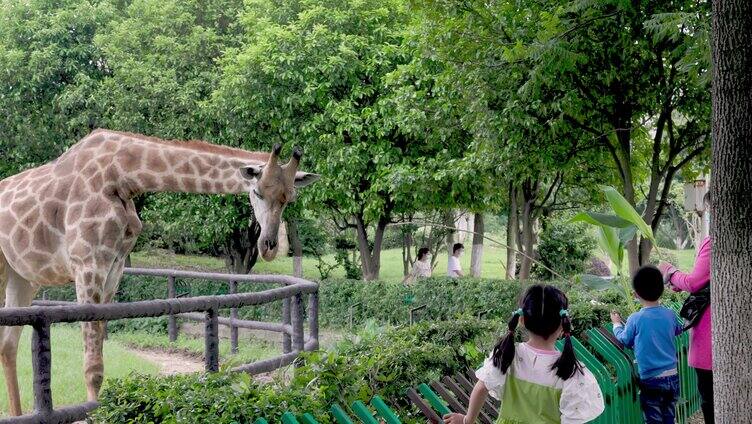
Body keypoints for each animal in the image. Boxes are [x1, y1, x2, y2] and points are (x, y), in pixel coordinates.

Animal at [0, 128, 318, 414]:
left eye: (289, 197)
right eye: (257, 192)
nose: (269, 246)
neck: (124, 177)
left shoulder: (113, 268)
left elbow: (99, 361)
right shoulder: (87, 264)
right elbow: (91, 367)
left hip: (22, 277)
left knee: (8, 344)